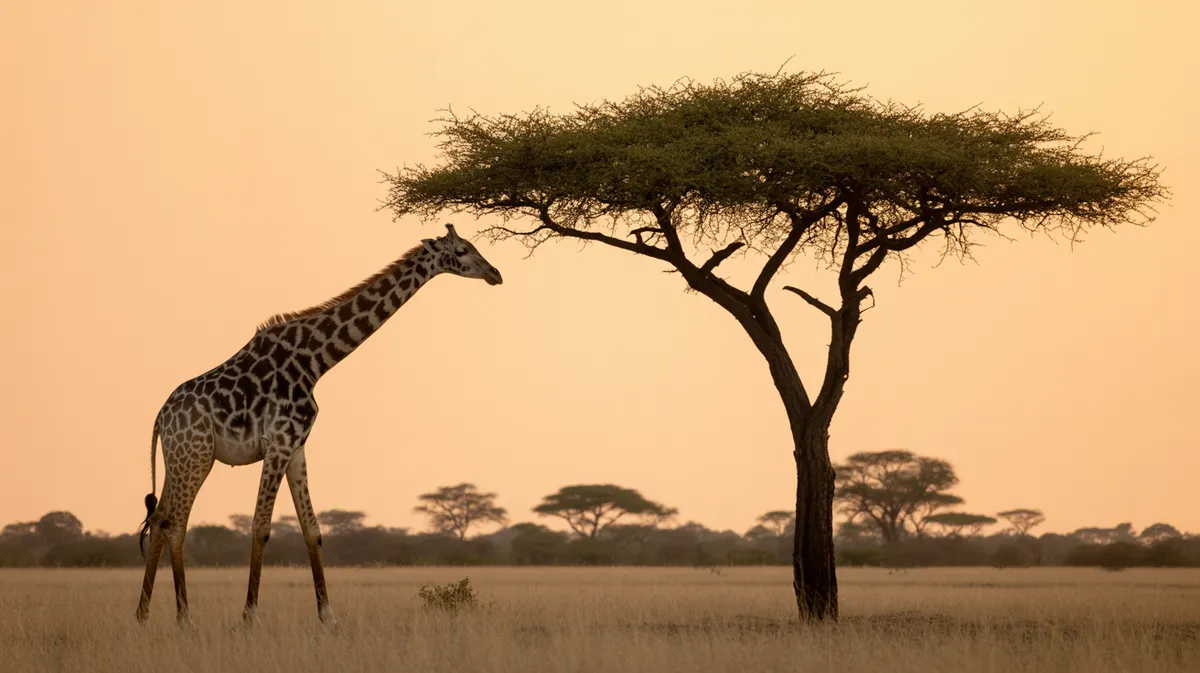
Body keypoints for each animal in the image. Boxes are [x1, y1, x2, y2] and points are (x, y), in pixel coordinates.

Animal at [134, 223, 502, 626]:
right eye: (462, 250)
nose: (495, 274)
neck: (316, 361)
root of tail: (159, 418)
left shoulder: (296, 446)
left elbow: (312, 530)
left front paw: (328, 616)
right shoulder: (279, 442)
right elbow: (261, 527)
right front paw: (249, 618)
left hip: (181, 457)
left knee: (160, 518)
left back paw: (143, 615)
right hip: (196, 455)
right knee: (175, 522)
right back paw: (184, 618)